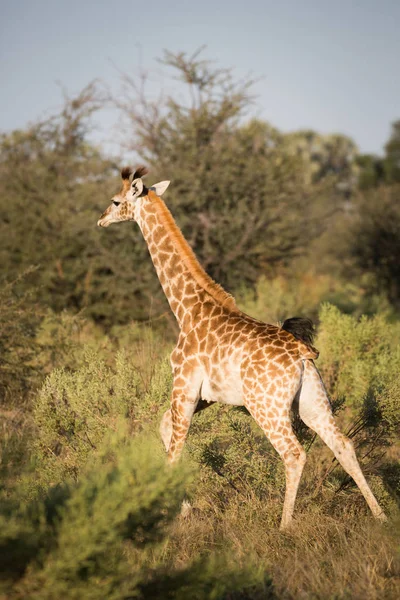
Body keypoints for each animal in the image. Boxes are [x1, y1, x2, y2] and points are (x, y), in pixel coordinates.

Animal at [97, 166, 388, 528]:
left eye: (115, 200)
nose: (101, 219)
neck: (186, 308)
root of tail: (302, 353)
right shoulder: (206, 395)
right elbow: (166, 429)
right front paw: (185, 507)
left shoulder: (184, 385)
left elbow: (174, 450)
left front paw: (169, 516)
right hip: (312, 401)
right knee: (344, 444)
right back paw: (381, 516)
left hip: (266, 406)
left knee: (294, 453)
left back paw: (284, 526)